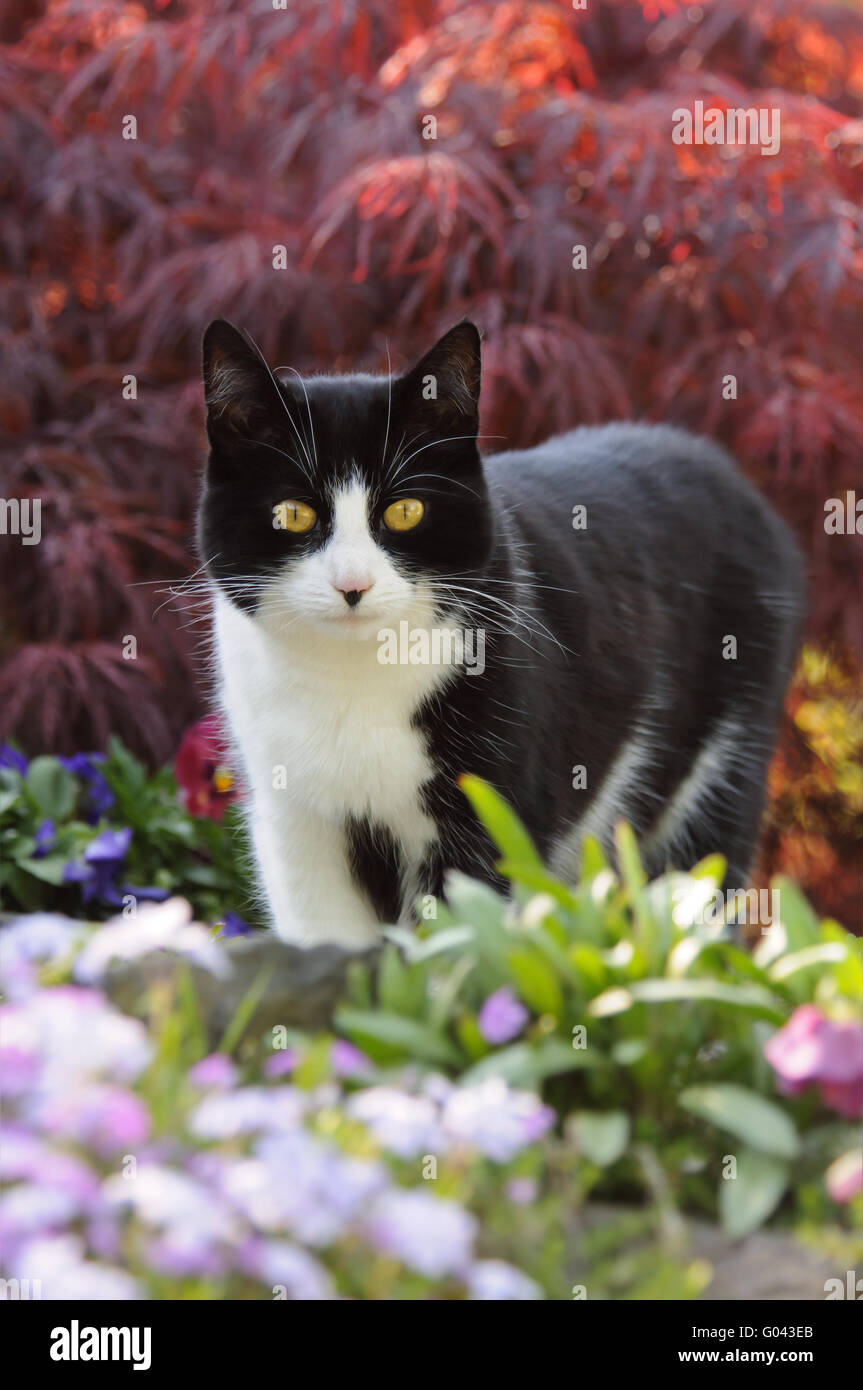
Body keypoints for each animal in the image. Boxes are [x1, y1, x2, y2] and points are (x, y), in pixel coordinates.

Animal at [197, 318, 800, 945]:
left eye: (406, 511)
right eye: (293, 514)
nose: (353, 584)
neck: (353, 682)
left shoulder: (491, 807)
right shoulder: (296, 824)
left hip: (727, 753)